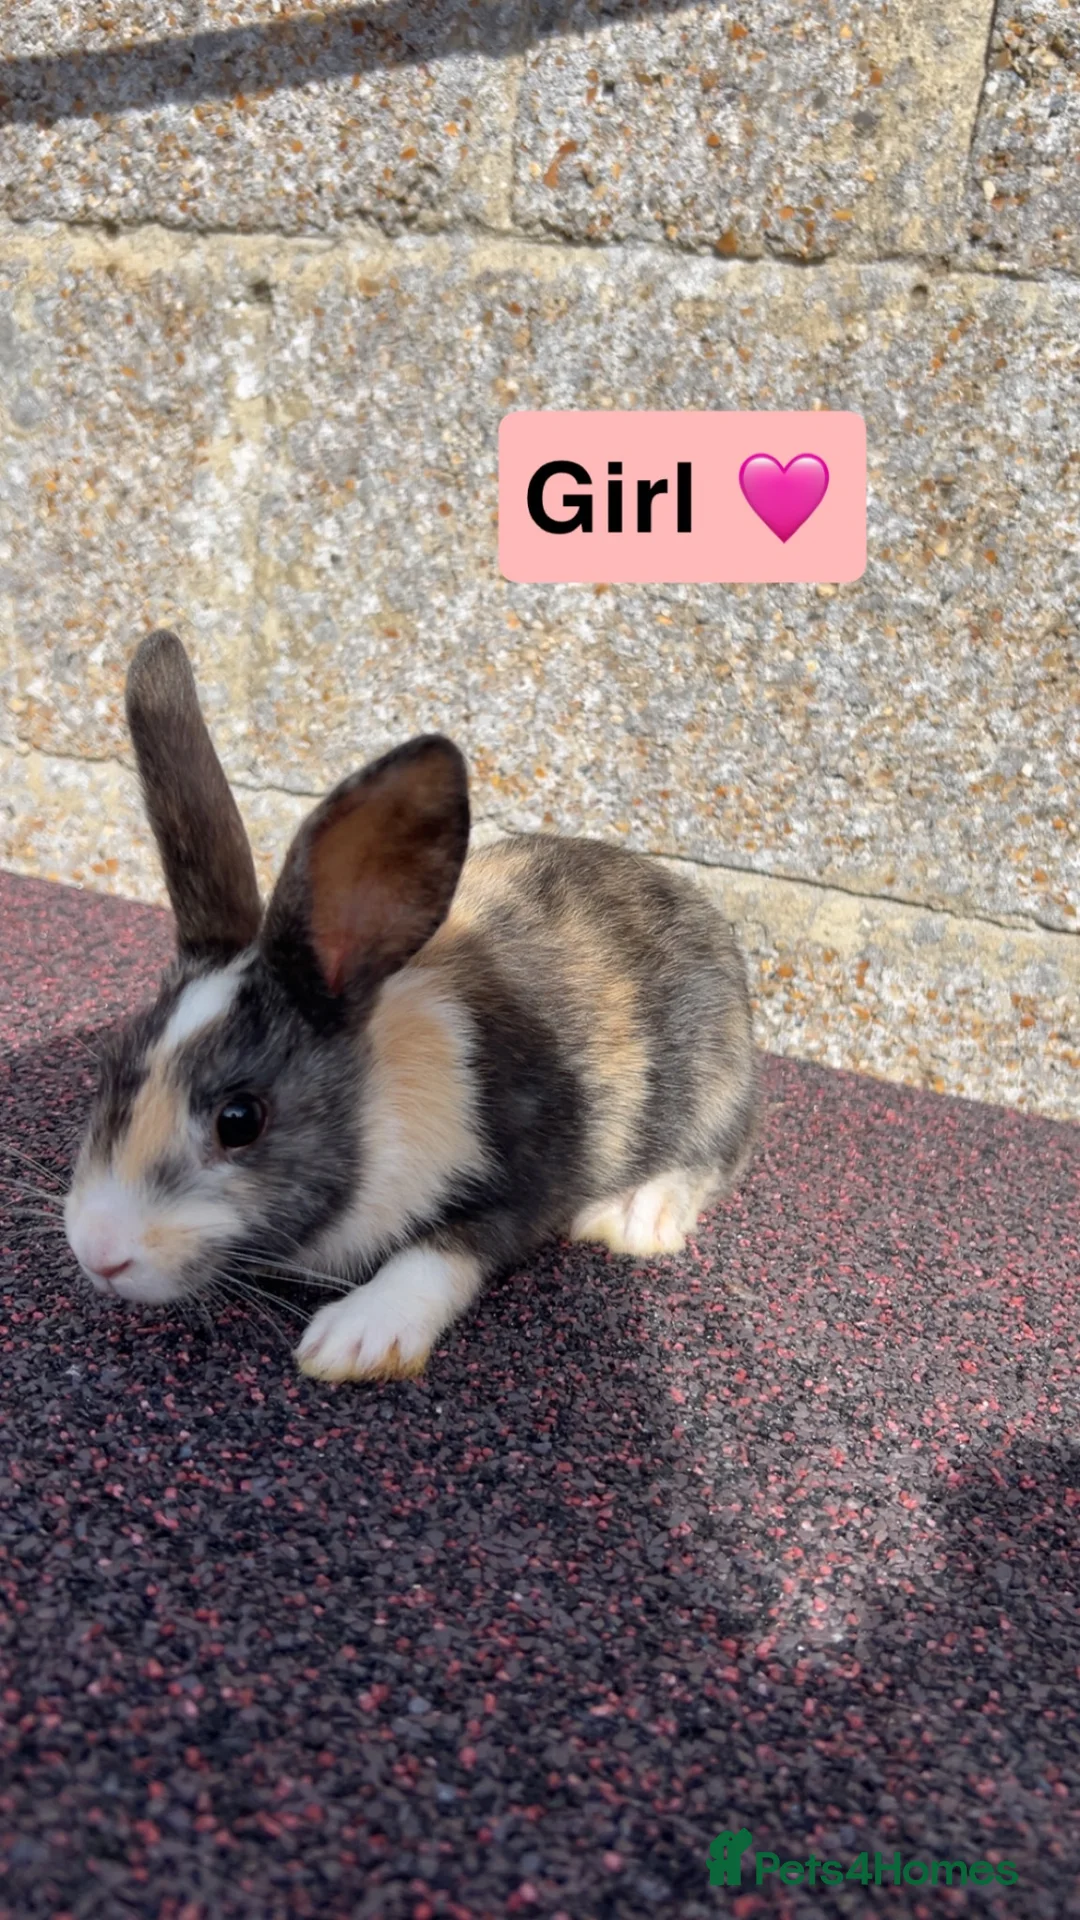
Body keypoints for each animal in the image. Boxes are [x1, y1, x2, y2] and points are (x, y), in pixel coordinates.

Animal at [64, 630, 759, 1382]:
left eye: (239, 1120)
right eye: (111, 1068)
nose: (98, 1253)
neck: (380, 1098)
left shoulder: (528, 1180)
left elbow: (445, 1249)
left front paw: (357, 1337)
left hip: (717, 1082)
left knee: (715, 1156)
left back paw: (637, 1215)